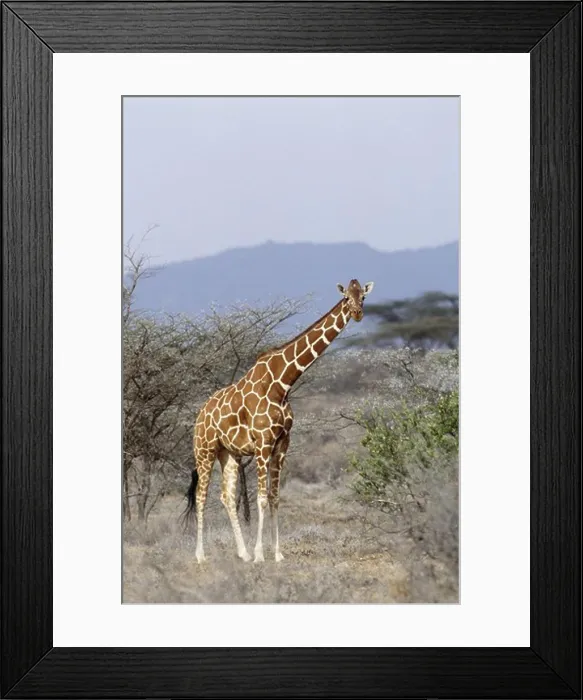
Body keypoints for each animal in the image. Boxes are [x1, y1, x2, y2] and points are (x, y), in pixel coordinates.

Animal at [182, 278, 374, 563]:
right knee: (201, 496)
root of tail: (200, 415)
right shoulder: (263, 443)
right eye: (346, 298)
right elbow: (261, 498)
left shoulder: (283, 443)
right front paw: (260, 555)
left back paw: (242, 553)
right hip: (204, 450)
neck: (282, 384)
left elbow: (275, 497)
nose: (358, 313)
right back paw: (201, 556)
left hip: (229, 453)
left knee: (226, 496)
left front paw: (277, 554)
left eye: (363, 296)